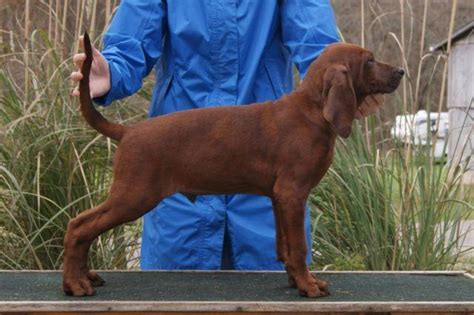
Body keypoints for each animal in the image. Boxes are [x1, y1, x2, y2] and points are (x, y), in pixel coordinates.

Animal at [63, 33, 404, 300]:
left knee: (84, 228)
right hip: (134, 195)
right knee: (79, 225)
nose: (400, 71)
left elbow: (285, 247)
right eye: (370, 60)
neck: (312, 110)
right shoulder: (293, 193)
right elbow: (299, 246)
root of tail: (129, 131)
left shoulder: (279, 197)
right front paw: (308, 286)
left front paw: (296, 281)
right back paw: (74, 283)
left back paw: (84, 276)